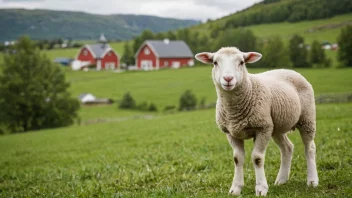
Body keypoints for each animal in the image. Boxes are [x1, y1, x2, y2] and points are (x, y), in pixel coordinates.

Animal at [195, 46, 320, 196]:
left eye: (242, 62)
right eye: (215, 62)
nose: (228, 78)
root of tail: (289, 70)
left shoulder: (262, 128)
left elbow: (257, 158)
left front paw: (261, 188)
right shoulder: (231, 132)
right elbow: (237, 159)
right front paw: (236, 188)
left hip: (307, 119)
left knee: (310, 148)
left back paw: (312, 181)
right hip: (276, 126)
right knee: (287, 148)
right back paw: (281, 180)